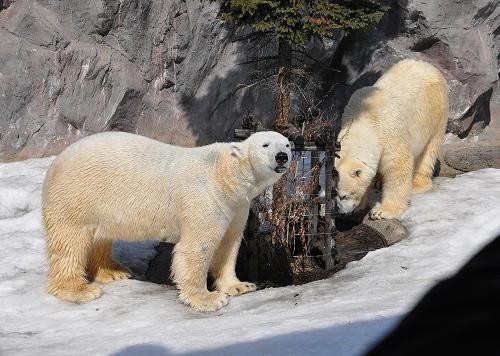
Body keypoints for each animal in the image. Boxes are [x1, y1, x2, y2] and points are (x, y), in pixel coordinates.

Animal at [43, 131, 292, 312]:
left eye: (287, 144)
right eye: (265, 145)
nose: (282, 156)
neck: (223, 174)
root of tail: (56, 162)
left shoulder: (237, 207)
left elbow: (228, 244)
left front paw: (240, 286)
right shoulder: (204, 196)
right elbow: (197, 247)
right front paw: (208, 299)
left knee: (100, 236)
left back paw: (113, 271)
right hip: (78, 194)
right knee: (70, 242)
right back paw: (79, 290)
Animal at [336, 58, 450, 220]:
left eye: (345, 195)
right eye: (335, 193)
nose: (342, 213)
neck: (363, 118)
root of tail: (427, 65)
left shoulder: (389, 131)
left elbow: (398, 166)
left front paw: (381, 211)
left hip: (436, 112)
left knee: (429, 151)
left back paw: (417, 184)